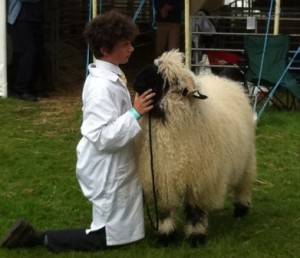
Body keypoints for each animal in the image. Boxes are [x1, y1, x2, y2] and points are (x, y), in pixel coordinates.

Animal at [133, 49, 255, 245]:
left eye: (165, 79)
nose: (136, 81)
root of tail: (224, 80)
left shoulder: (199, 178)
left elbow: (195, 209)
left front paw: (196, 235)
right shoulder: (161, 175)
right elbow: (165, 209)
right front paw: (165, 235)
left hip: (247, 156)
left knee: (244, 182)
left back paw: (241, 209)